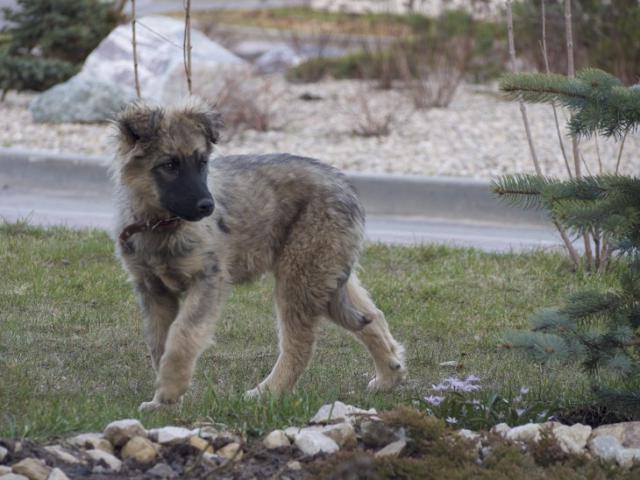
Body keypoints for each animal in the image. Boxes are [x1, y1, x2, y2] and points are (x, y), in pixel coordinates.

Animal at [111, 96, 404, 408]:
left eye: (202, 163)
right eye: (169, 165)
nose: (207, 207)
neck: (161, 224)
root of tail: (346, 188)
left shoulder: (208, 280)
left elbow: (183, 334)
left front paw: (169, 391)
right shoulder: (153, 290)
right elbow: (159, 344)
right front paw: (165, 401)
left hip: (299, 275)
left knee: (299, 346)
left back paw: (269, 392)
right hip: (325, 274)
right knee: (372, 317)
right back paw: (389, 375)